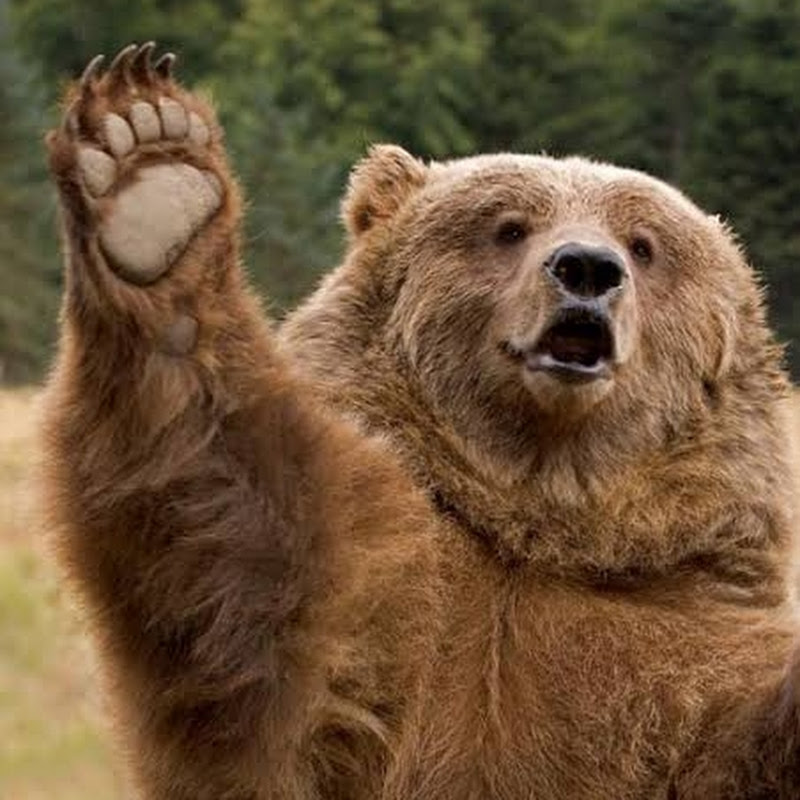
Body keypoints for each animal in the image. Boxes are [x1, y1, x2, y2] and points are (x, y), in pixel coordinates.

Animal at [42, 43, 800, 800]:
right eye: (509, 226)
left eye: (645, 244)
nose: (587, 268)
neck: (536, 511)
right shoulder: (381, 616)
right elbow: (243, 553)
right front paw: (150, 170)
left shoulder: (673, 643)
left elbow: (733, 740)